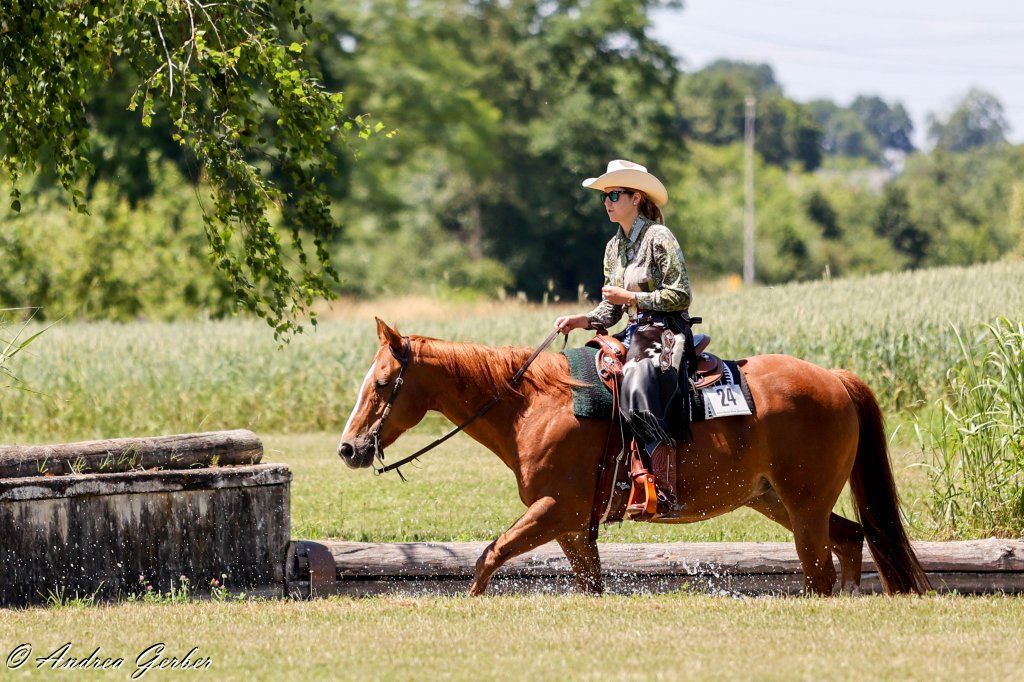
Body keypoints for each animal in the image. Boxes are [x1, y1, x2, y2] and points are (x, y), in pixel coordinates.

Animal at [337, 318, 931, 596]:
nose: (348, 448)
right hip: (777, 500)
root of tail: (834, 378)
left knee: (820, 569)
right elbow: (588, 582)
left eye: (384, 383)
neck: (533, 404)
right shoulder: (573, 526)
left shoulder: (557, 508)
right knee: (850, 538)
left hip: (802, 505)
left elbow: (489, 554)